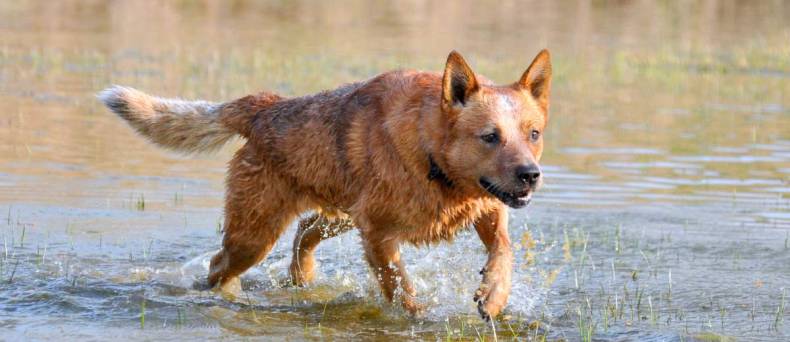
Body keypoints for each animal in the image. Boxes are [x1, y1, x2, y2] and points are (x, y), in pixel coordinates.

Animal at [99, 50, 552, 320]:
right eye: (490, 136)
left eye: (533, 134)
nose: (531, 174)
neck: (433, 160)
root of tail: (263, 107)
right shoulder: (378, 235)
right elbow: (399, 286)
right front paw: (419, 315)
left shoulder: (488, 207)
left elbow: (503, 251)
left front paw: (493, 295)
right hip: (256, 233)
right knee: (219, 264)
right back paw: (229, 295)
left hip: (342, 213)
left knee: (305, 229)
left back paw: (302, 275)